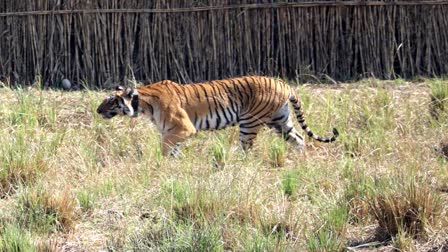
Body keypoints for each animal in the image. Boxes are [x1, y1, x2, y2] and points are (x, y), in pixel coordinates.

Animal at [96, 76, 338, 157]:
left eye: (111, 101)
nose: (97, 111)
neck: (143, 103)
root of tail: (284, 83)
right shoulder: (173, 131)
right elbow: (172, 150)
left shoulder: (182, 128)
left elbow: (165, 148)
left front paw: (162, 164)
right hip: (279, 121)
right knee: (299, 139)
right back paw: (299, 161)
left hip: (250, 122)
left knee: (246, 150)